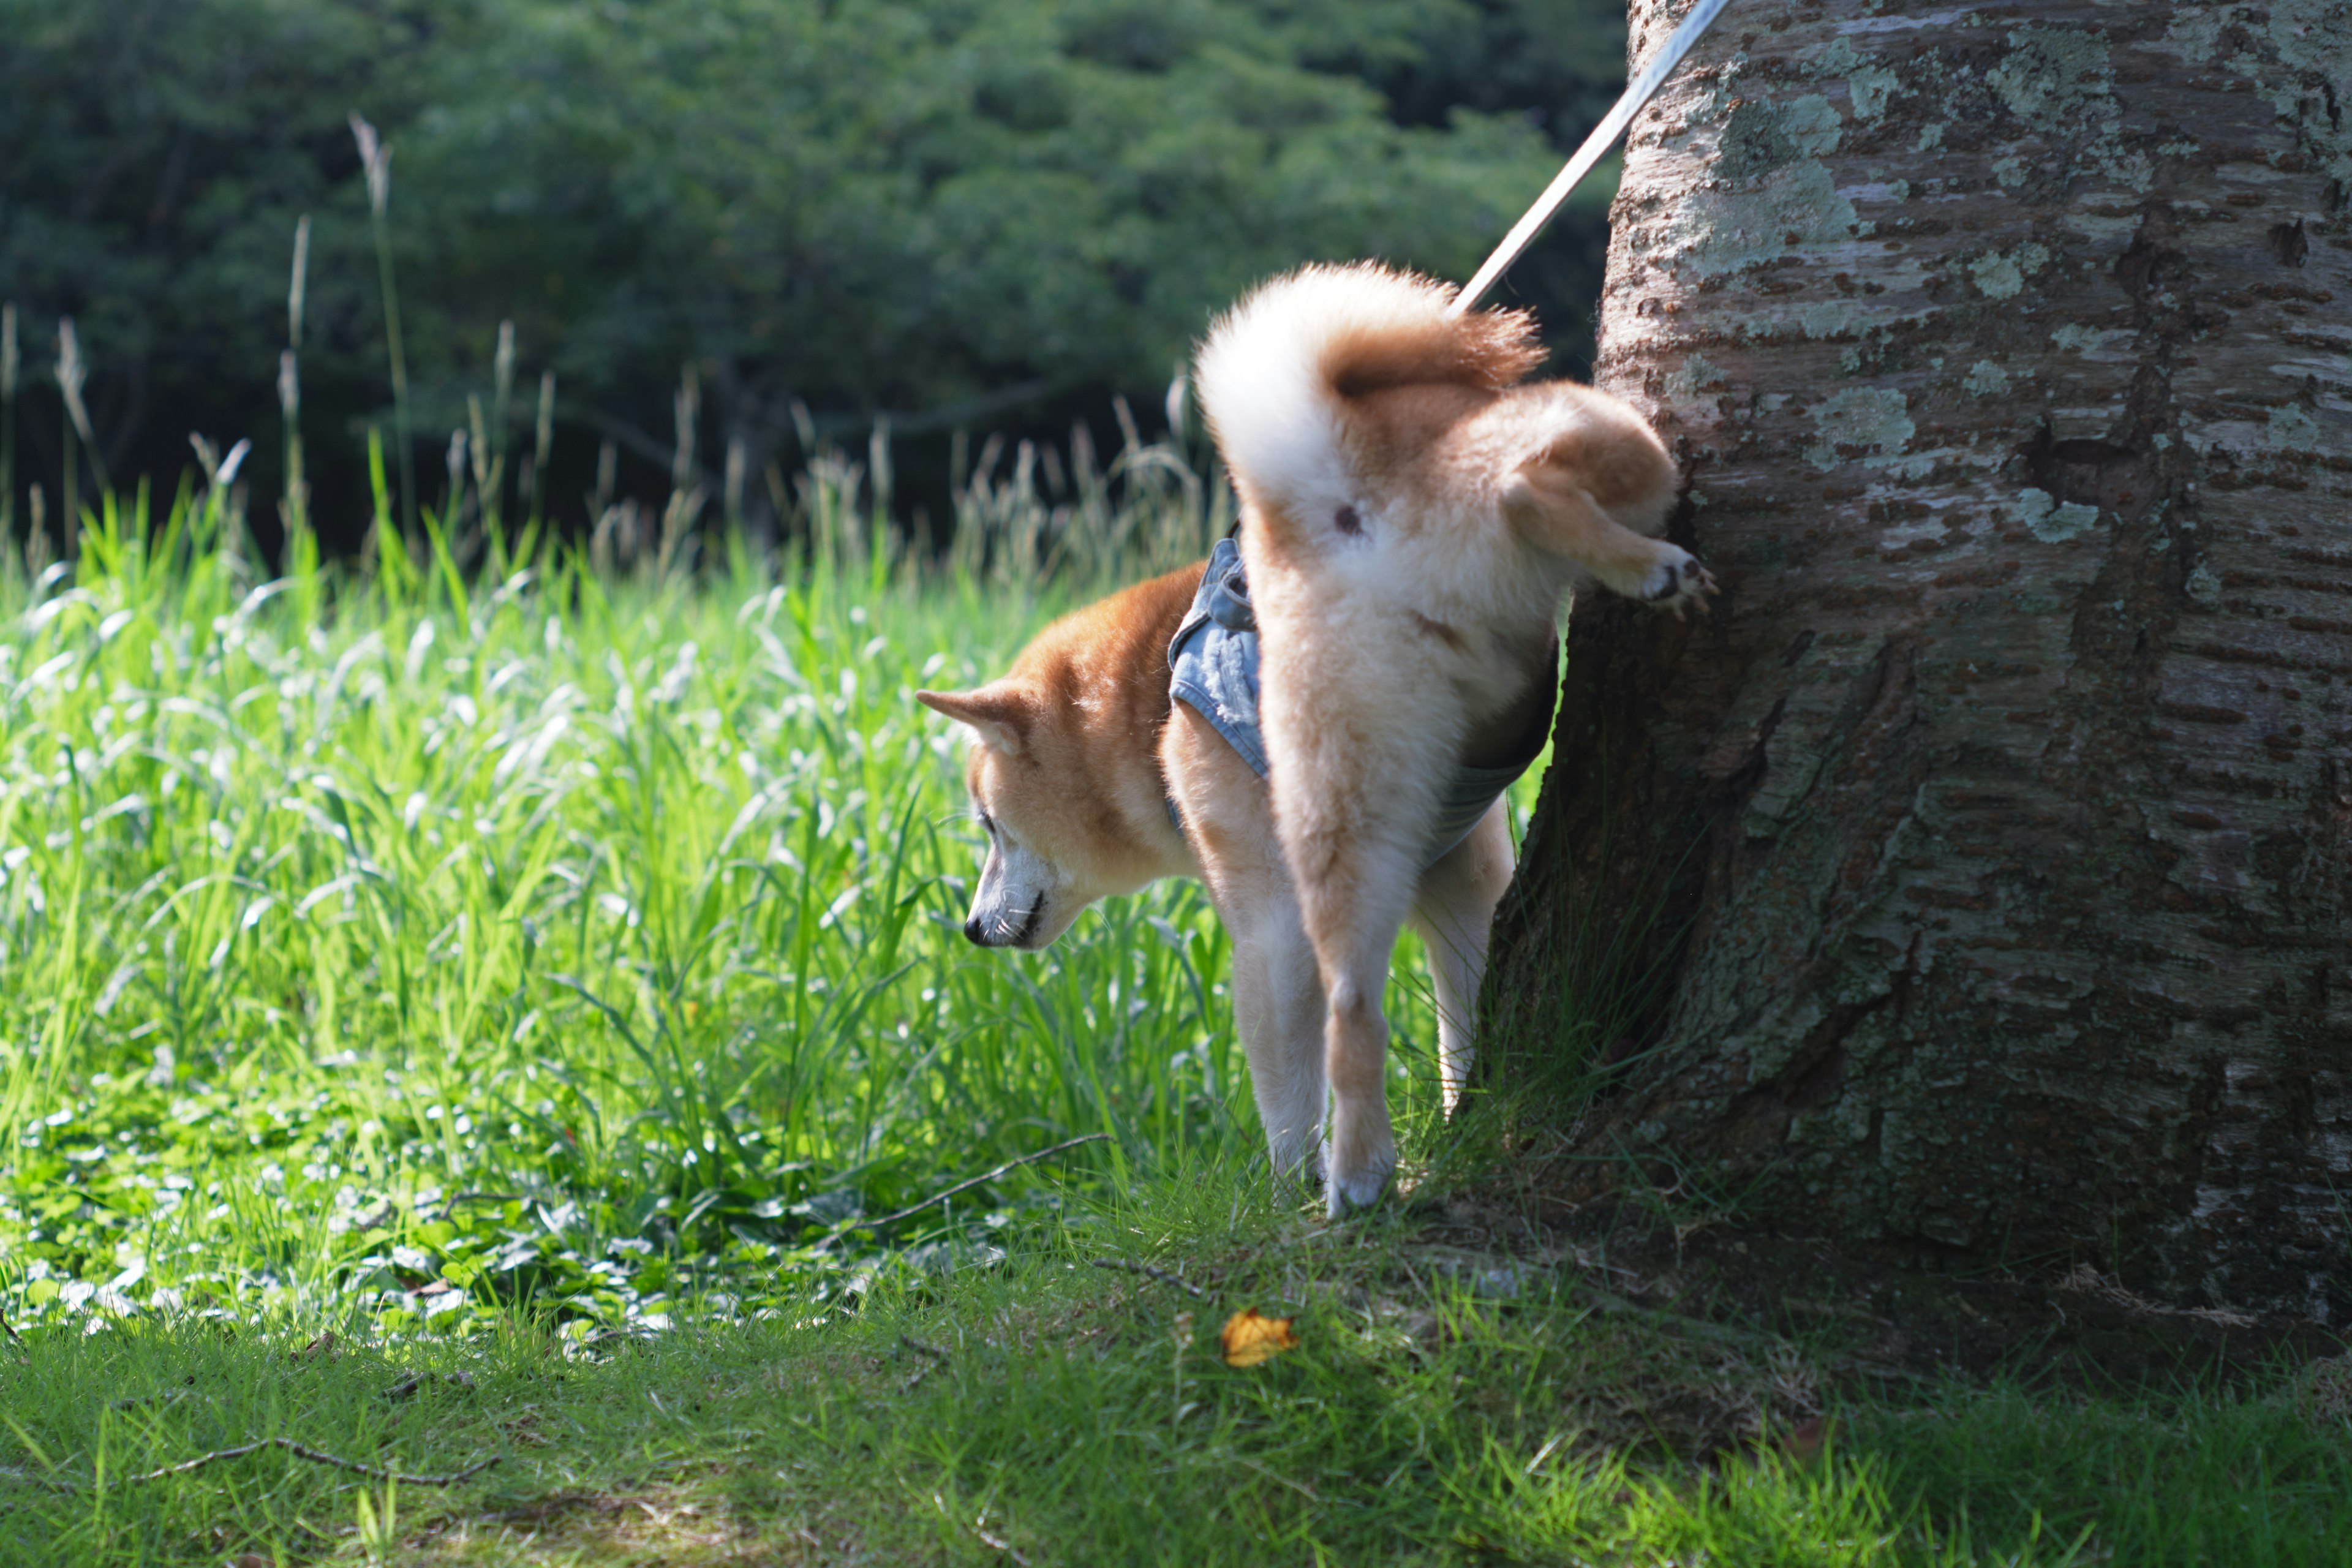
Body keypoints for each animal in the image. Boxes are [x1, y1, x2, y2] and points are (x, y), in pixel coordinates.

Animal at [917, 261, 1712, 1213]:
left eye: (991, 827)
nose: (969, 928)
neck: (1148, 704)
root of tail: (1338, 495)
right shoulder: (1465, 873)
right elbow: (1460, 1021)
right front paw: (1465, 1119)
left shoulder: (1264, 922)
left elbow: (1285, 1090)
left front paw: (1287, 1186)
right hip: (1623, 447)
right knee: (1527, 485)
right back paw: (1640, 563)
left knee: (1349, 1014)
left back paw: (1356, 1180)